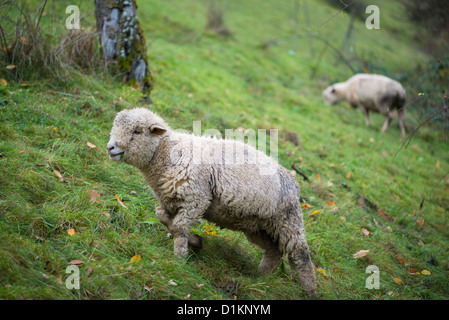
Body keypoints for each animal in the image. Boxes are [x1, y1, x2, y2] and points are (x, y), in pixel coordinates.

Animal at [107, 109, 318, 298]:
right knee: (274, 250)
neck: (169, 153)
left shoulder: (197, 199)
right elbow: (163, 218)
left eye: (137, 131)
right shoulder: (169, 199)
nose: (110, 148)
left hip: (288, 219)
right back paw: (260, 278)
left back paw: (310, 291)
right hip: (257, 225)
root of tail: (292, 179)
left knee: (301, 255)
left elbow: (179, 227)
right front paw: (195, 241)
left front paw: (180, 257)